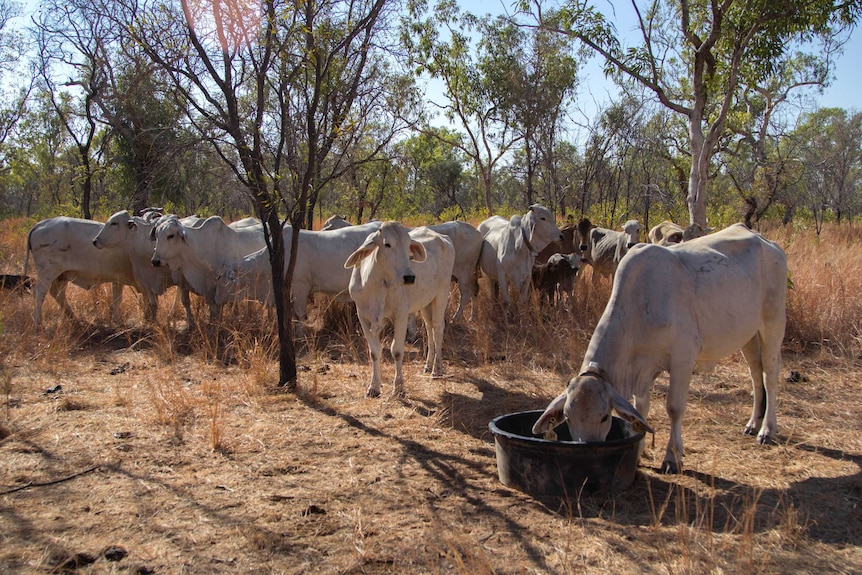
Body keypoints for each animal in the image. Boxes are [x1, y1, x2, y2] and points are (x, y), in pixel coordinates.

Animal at [346, 222, 460, 400]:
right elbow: (374, 352)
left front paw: (399, 388)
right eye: (387, 244)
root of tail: (443, 238)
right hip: (425, 301)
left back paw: (436, 370)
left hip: (441, 294)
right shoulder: (363, 317)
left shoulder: (400, 315)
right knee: (429, 328)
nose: (409, 277)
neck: (377, 284)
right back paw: (428, 365)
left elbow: (397, 351)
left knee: (438, 329)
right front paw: (374, 388)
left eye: (408, 246)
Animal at [532, 223, 788, 474]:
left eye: (605, 417)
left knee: (770, 375)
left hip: (773, 323)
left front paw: (672, 458)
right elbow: (641, 409)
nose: (587, 448)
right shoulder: (643, 368)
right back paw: (753, 423)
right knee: (756, 374)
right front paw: (640, 452)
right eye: (568, 417)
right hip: (748, 335)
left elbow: (674, 408)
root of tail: (766, 242)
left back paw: (766, 430)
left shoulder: (683, 359)